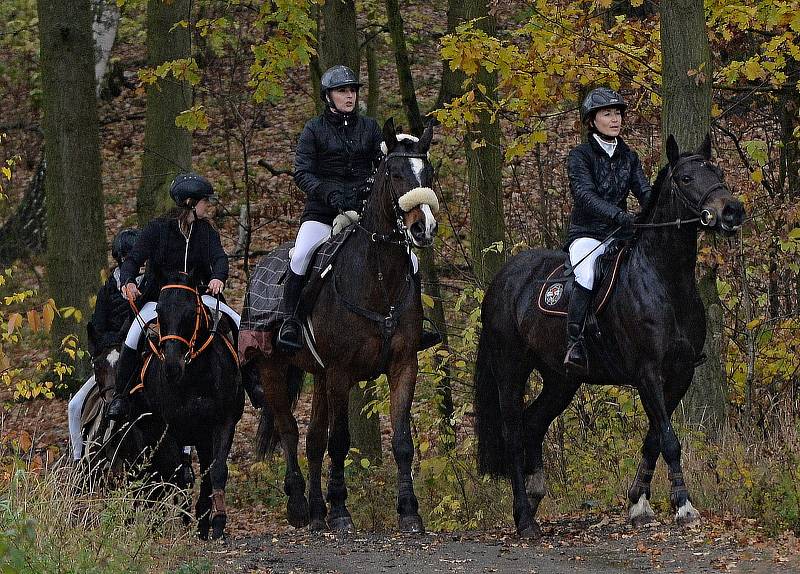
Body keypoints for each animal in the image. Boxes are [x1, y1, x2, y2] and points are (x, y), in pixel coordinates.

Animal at [138, 272, 244, 544]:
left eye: (191, 311)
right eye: (159, 310)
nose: (172, 367)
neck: (194, 377)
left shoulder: (222, 423)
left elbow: (216, 470)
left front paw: (216, 521)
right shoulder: (169, 428)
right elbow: (179, 473)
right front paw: (186, 519)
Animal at [244, 120, 440, 536]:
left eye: (427, 173)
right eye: (395, 173)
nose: (422, 229)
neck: (378, 278)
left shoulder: (403, 365)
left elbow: (401, 440)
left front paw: (409, 512)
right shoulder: (340, 372)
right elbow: (340, 440)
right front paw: (340, 511)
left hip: (317, 376)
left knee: (313, 440)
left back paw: (316, 511)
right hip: (273, 368)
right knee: (289, 430)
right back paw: (300, 506)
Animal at [476, 136, 744, 540]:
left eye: (718, 172)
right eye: (685, 178)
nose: (731, 212)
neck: (666, 278)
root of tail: (503, 279)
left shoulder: (680, 374)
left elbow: (655, 436)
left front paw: (639, 503)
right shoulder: (647, 371)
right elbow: (669, 439)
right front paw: (683, 507)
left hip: (561, 379)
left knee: (534, 422)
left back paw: (536, 498)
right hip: (510, 369)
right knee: (513, 432)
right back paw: (524, 518)